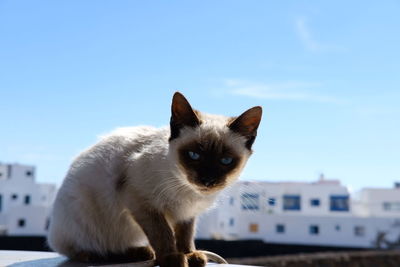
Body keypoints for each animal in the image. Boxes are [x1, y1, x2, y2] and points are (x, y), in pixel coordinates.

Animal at [47, 92, 262, 267]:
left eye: (226, 160)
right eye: (194, 155)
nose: (207, 180)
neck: (187, 191)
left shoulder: (186, 213)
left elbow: (185, 235)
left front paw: (189, 255)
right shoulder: (142, 201)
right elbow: (163, 233)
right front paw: (171, 258)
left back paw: (140, 252)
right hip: (84, 216)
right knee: (81, 249)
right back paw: (110, 254)